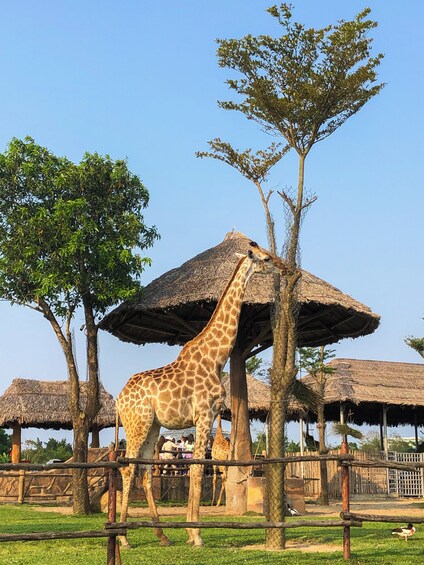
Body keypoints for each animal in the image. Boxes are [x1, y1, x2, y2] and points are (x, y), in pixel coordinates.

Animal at [115, 239, 284, 548]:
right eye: (265, 258)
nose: (282, 268)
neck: (216, 357)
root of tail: (118, 399)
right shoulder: (204, 414)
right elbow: (196, 469)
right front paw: (196, 534)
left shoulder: (206, 415)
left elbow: (196, 468)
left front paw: (189, 532)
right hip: (137, 423)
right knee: (128, 469)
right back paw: (123, 538)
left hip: (153, 427)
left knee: (144, 472)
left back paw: (162, 536)